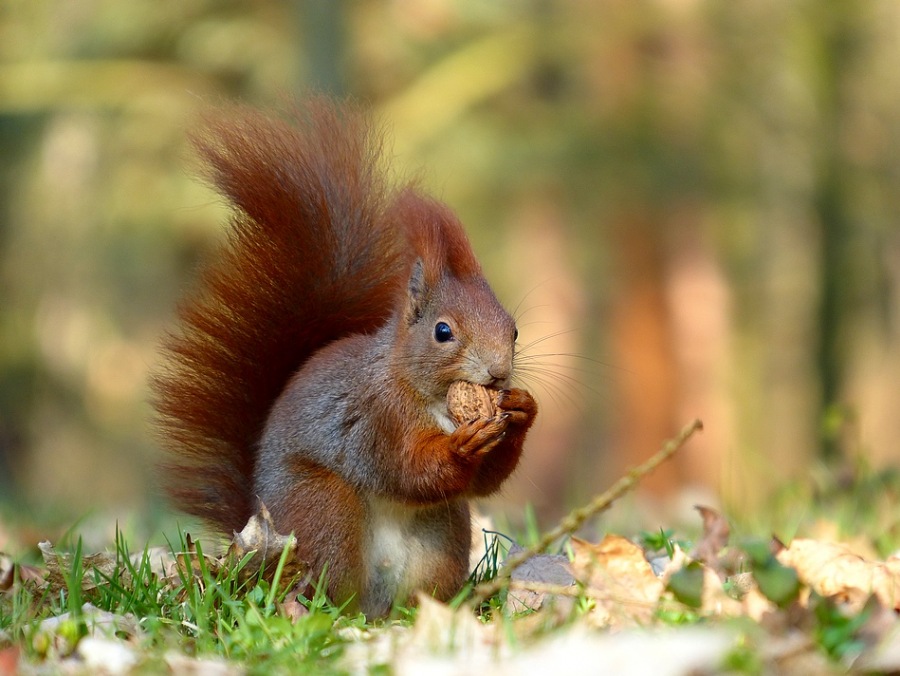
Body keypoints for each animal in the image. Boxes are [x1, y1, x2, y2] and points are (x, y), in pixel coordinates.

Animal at [151, 99, 537, 617]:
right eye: (443, 332)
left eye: (513, 330)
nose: (498, 374)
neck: (431, 396)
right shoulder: (378, 418)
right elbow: (406, 470)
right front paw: (461, 447)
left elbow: (483, 483)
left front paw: (522, 409)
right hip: (324, 510)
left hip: (440, 535)